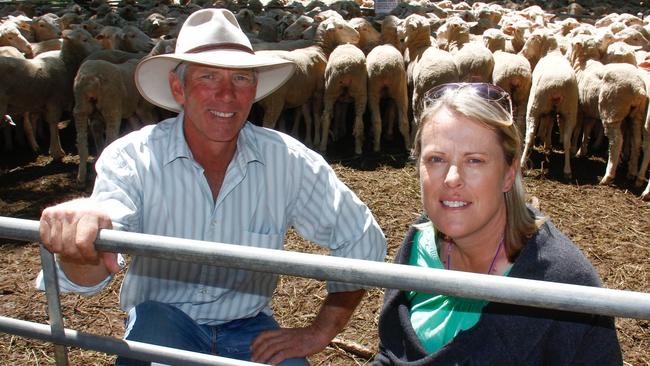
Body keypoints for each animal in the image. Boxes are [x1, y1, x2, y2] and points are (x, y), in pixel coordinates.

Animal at [0, 28, 102, 160]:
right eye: (85, 39)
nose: (101, 48)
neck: (65, 64)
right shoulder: (54, 100)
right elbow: (53, 121)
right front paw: (57, 152)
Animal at [520, 33, 576, 179]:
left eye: (532, 38)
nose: (522, 53)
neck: (551, 52)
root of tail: (557, 86)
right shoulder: (551, 111)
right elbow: (549, 124)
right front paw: (547, 145)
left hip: (534, 106)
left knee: (529, 136)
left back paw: (522, 165)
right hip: (570, 111)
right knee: (567, 140)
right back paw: (567, 170)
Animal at [564, 35, 644, 186]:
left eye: (571, 44)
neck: (584, 63)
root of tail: (637, 88)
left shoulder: (579, 109)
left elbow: (577, 129)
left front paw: (573, 149)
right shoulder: (589, 109)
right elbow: (587, 130)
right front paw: (581, 151)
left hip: (612, 112)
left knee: (616, 141)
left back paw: (608, 176)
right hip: (637, 115)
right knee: (636, 140)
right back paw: (632, 172)